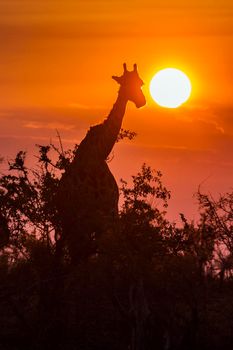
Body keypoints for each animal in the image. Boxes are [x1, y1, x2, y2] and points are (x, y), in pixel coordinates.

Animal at [55, 64, 146, 264]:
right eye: (126, 83)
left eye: (140, 82)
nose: (141, 101)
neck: (99, 153)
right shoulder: (103, 214)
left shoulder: (109, 213)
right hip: (74, 222)